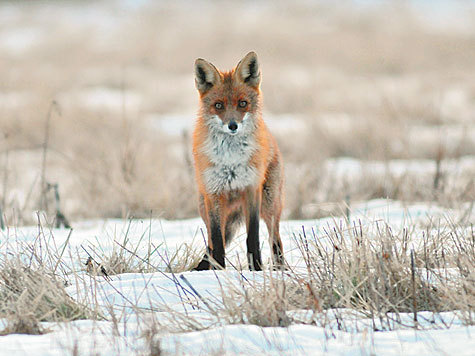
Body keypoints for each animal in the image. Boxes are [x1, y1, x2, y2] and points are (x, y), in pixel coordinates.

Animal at [192, 51, 284, 272]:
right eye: (218, 105)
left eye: (243, 103)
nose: (232, 125)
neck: (231, 160)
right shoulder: (214, 193)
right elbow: (217, 241)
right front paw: (218, 271)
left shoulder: (251, 189)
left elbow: (253, 237)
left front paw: (256, 269)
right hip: (203, 206)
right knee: (211, 240)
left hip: (270, 203)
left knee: (276, 239)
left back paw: (280, 270)